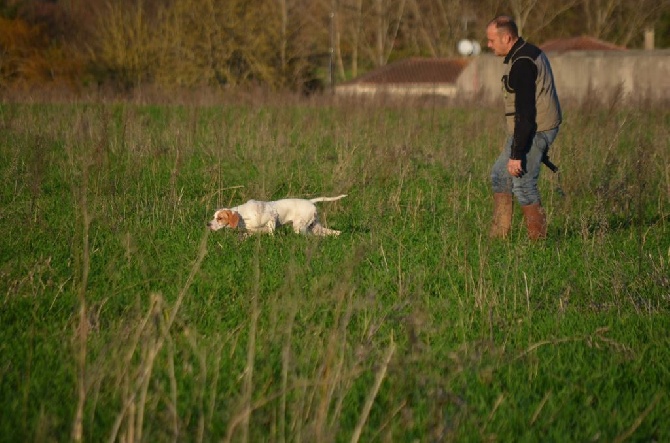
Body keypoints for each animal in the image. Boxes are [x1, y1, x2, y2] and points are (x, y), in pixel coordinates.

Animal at [209, 194, 346, 236]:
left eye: (219, 218)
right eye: (213, 217)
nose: (208, 224)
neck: (243, 215)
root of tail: (310, 201)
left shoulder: (272, 218)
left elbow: (271, 233)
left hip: (300, 228)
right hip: (315, 227)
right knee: (334, 233)